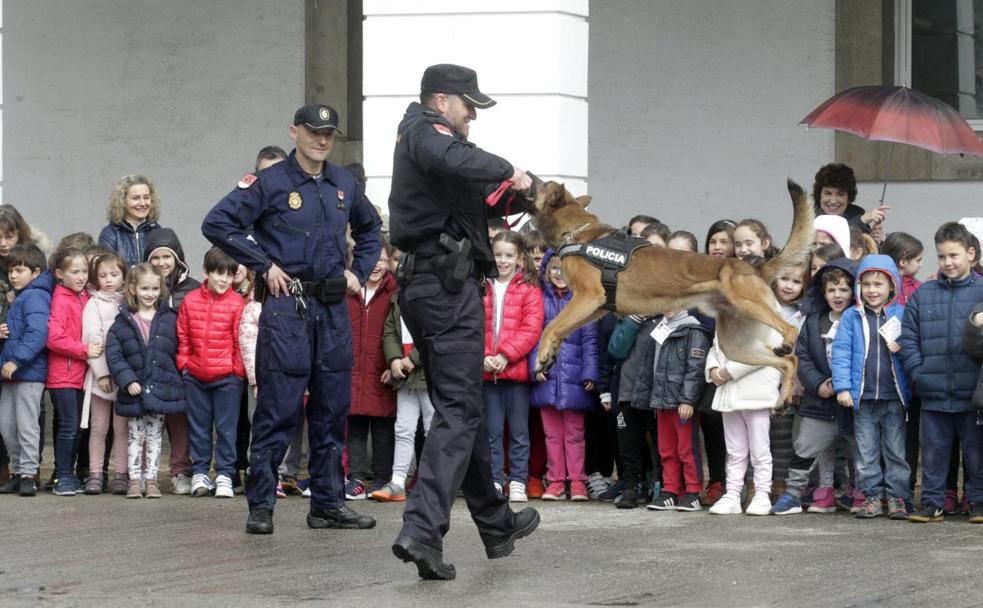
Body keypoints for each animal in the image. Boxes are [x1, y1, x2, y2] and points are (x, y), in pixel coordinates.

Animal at [532, 178, 816, 406]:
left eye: (542, 185)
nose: (530, 178)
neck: (578, 233)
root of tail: (755, 266)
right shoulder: (596, 307)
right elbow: (561, 329)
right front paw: (549, 355)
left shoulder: (588, 297)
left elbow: (551, 326)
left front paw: (542, 353)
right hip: (735, 346)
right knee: (790, 362)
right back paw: (781, 401)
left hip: (748, 303)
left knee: (790, 332)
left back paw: (788, 344)